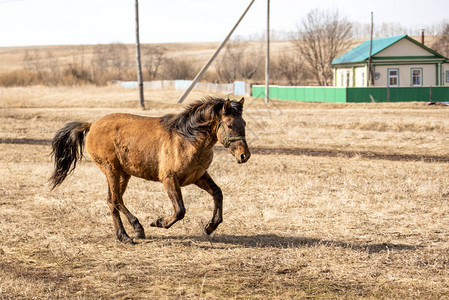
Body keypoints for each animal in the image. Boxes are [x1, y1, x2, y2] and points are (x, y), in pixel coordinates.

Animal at [51, 97, 252, 243]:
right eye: (229, 125)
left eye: (244, 124)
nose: (244, 155)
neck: (187, 138)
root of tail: (92, 125)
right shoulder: (169, 179)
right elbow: (180, 210)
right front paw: (159, 222)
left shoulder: (199, 176)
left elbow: (217, 193)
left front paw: (210, 226)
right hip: (112, 170)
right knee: (115, 200)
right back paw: (135, 230)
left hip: (123, 174)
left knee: (111, 201)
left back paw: (123, 235)